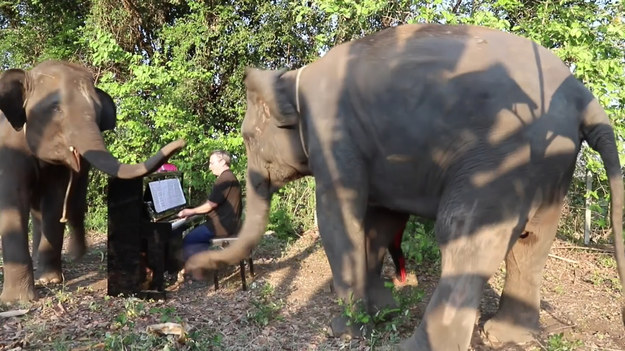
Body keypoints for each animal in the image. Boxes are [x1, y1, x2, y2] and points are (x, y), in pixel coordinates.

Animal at [0, 59, 185, 302]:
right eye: (56, 108)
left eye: (97, 113)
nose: (182, 141)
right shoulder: (7, 150)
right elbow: (13, 201)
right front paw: (17, 300)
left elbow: (54, 203)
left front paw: (50, 281)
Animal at [184, 23, 624, 350]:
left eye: (248, 137)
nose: (193, 269)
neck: (295, 76)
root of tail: (582, 94)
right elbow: (380, 222)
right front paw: (383, 312)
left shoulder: (333, 135)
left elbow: (338, 218)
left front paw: (345, 330)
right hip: (552, 164)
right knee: (532, 243)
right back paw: (505, 335)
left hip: (502, 155)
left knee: (464, 233)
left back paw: (420, 345)